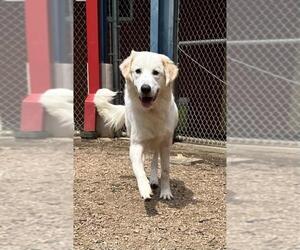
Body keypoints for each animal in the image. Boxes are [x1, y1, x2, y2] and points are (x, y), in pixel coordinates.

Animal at [94, 51, 178, 201]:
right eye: (138, 71)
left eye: (156, 72)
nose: (145, 88)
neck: (151, 112)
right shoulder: (136, 144)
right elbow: (138, 168)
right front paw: (144, 188)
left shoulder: (165, 145)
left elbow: (165, 170)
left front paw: (166, 192)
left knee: (154, 159)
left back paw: (154, 179)